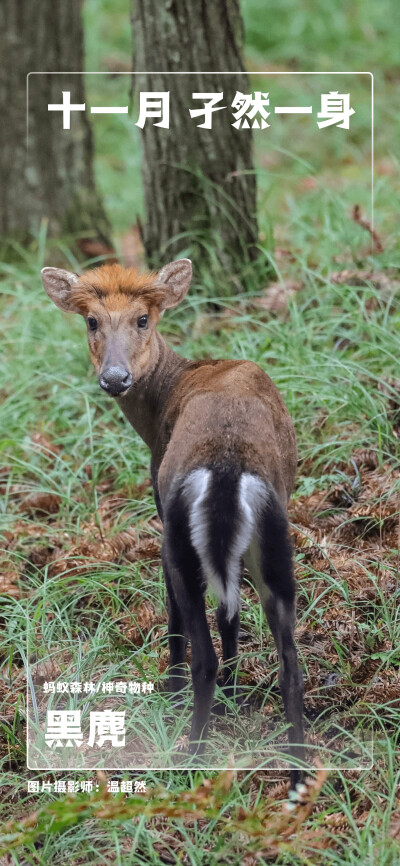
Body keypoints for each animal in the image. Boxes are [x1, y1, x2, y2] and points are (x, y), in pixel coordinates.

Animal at [40, 256, 304, 784]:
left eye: (143, 318)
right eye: (91, 321)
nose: (115, 378)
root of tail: (227, 465)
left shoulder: (161, 510)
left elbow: (177, 613)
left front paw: (173, 687)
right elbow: (230, 613)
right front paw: (234, 695)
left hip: (180, 534)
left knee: (200, 644)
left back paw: (191, 754)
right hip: (274, 535)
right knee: (289, 658)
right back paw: (300, 772)